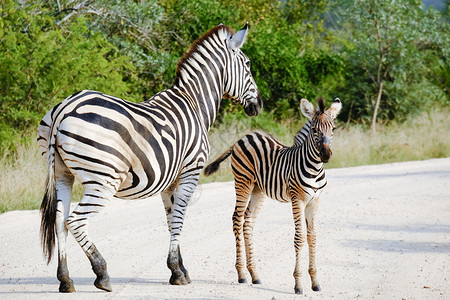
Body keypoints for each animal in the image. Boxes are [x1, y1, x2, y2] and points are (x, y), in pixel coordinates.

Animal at [38, 24, 264, 292]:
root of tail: (64, 108)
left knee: (59, 221)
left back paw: (65, 279)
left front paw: (179, 268)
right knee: (74, 222)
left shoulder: (169, 181)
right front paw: (177, 271)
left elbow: (171, 220)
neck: (194, 103)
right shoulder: (191, 172)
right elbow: (179, 218)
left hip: (62, 174)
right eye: (248, 64)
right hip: (102, 180)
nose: (259, 105)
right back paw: (102, 273)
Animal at [204, 97, 342, 294]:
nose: (326, 155)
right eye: (314, 130)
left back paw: (255, 275)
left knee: (248, 222)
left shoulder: (314, 201)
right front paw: (298, 285)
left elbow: (312, 237)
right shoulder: (297, 200)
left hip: (258, 189)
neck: (314, 169)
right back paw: (242, 274)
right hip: (243, 182)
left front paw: (315, 282)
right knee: (237, 218)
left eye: (333, 129)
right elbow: (299, 238)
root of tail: (245, 136)